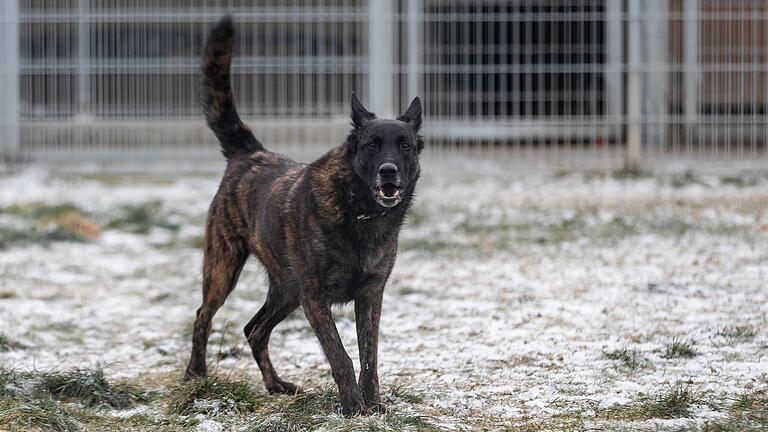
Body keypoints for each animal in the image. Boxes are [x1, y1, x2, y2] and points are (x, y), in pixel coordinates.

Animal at [184, 16, 426, 416]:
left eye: (404, 145)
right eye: (372, 145)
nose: (389, 172)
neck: (358, 212)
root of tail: (251, 152)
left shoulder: (370, 295)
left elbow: (369, 357)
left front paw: (373, 406)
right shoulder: (315, 298)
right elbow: (341, 357)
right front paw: (352, 408)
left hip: (286, 289)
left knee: (254, 329)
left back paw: (275, 385)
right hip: (225, 269)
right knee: (204, 314)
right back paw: (195, 374)